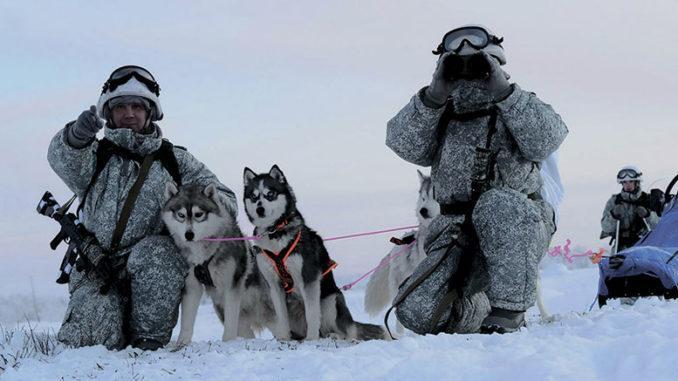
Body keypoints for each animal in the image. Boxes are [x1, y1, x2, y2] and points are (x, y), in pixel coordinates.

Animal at [161, 183, 276, 342]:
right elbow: (186, 322)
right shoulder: (192, 286)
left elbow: (230, 324)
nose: (189, 235)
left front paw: (227, 342)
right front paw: (181, 344)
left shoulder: (231, 287)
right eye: (181, 215)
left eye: (198, 214)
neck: (203, 255)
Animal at [246, 165, 390, 340]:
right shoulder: (274, 285)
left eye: (270, 194)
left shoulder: (309, 279)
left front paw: (311, 339)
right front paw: (284, 339)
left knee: (347, 332)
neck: (275, 233)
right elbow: (281, 317)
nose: (260, 209)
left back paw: (334, 336)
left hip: (331, 301)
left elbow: (312, 314)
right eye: (254, 197)